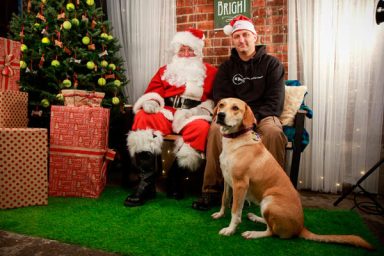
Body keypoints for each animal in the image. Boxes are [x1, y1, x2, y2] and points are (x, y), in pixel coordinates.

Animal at [212, 97, 374, 250]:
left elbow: (235, 211)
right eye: (221, 105)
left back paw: (253, 233)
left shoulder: (240, 185)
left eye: (235, 108)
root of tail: (301, 227)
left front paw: (230, 229)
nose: (220, 115)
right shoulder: (228, 181)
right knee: (269, 224)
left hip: (269, 201)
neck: (235, 140)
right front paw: (220, 214)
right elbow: (224, 199)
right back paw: (255, 217)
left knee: (272, 231)